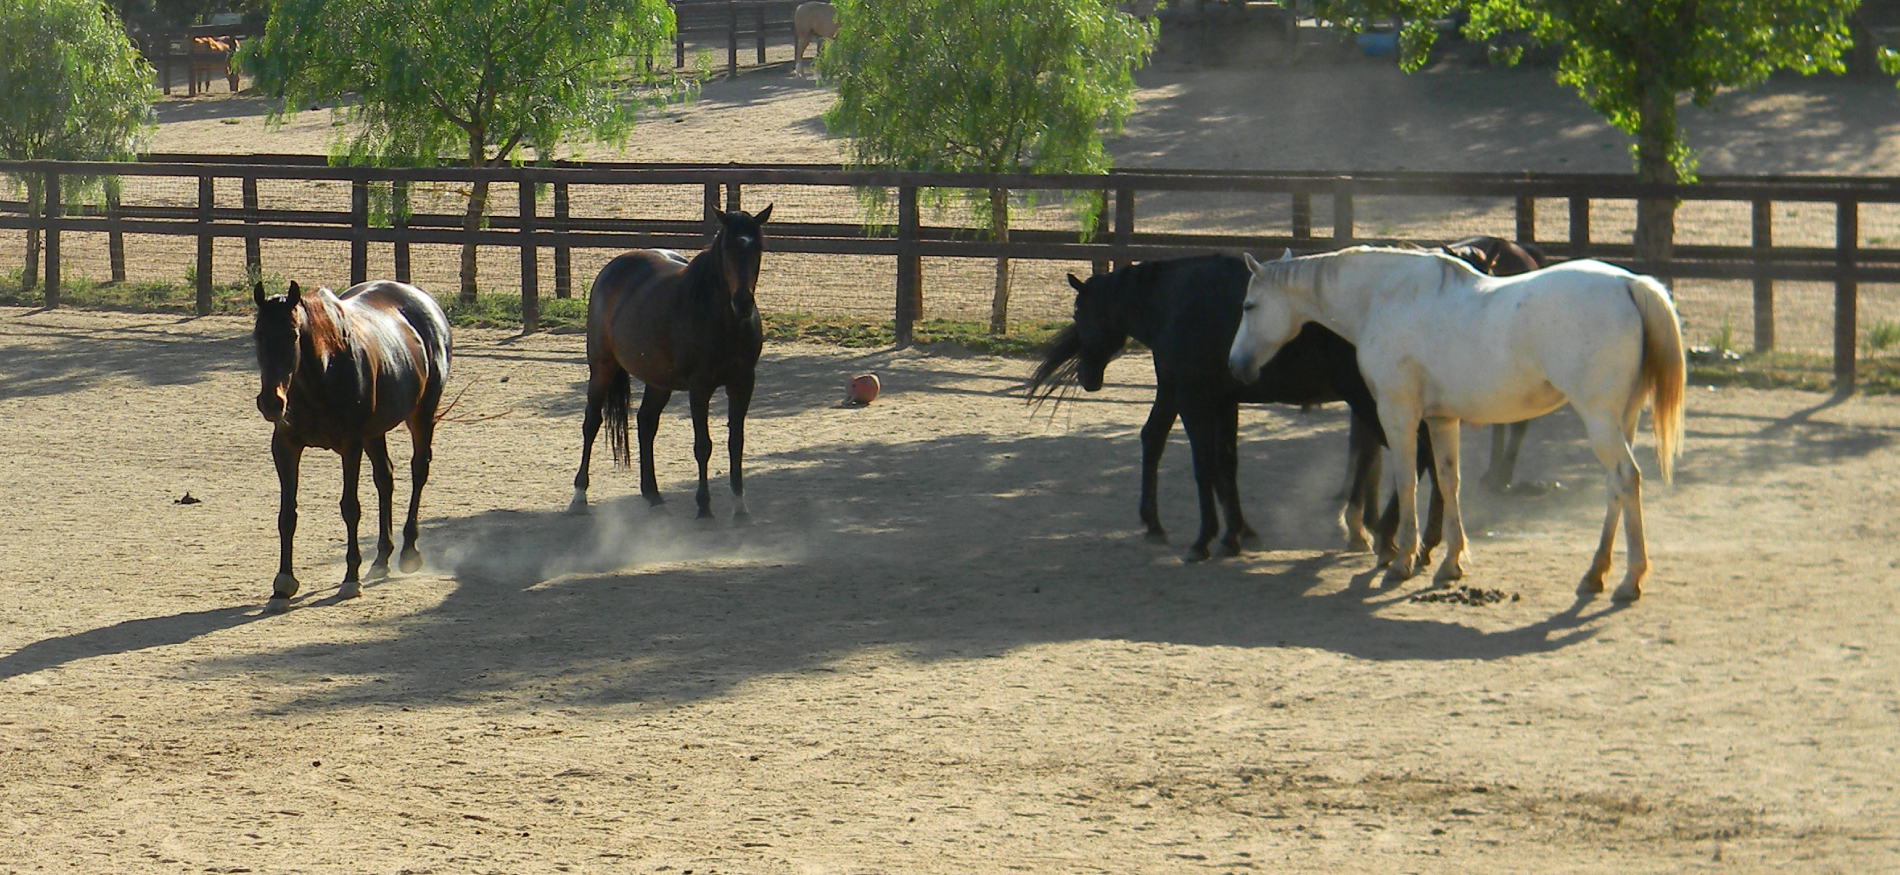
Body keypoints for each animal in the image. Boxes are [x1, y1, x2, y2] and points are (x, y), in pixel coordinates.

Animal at [251, 280, 452, 613]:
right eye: (257, 336)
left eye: (293, 335)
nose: (270, 402)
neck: (322, 373)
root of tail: (423, 299)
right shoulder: (285, 447)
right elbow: (287, 514)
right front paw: (282, 586)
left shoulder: (350, 446)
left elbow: (350, 508)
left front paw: (350, 579)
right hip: (375, 432)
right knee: (385, 478)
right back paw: (382, 559)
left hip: (421, 416)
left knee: (418, 472)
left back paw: (408, 552)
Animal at [569, 206, 773, 519]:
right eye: (727, 247)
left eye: (758, 248)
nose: (742, 303)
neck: (722, 321)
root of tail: (613, 269)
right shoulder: (700, 388)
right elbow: (703, 446)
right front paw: (704, 505)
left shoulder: (742, 383)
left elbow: (735, 443)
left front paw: (739, 506)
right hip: (602, 368)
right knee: (592, 423)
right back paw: (579, 494)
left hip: (658, 381)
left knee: (646, 423)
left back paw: (653, 495)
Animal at [1027, 254, 1443, 562]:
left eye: (1078, 314)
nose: (1087, 377)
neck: (1174, 302)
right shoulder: (1220, 402)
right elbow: (1224, 464)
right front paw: (1234, 533)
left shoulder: (1193, 400)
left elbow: (1203, 466)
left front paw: (1204, 539)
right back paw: (1420, 540)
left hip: (1374, 403)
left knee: (1418, 455)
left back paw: (1389, 535)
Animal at [1228, 247, 1685, 600]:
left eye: (1249, 306)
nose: (1237, 365)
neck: (1384, 297)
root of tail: (1629, 283)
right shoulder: (1441, 419)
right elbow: (1448, 482)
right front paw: (1449, 563)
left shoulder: (1397, 413)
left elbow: (1407, 482)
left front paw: (1401, 560)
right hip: (1620, 420)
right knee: (1614, 488)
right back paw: (1595, 574)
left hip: (1599, 419)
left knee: (1626, 478)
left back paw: (1628, 580)